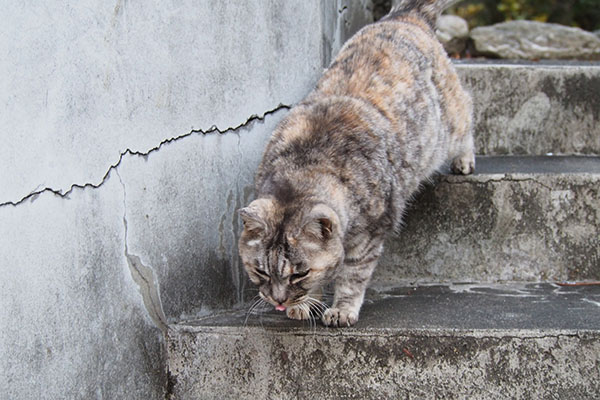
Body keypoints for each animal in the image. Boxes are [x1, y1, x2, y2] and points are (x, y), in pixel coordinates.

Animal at [238, 0, 474, 326]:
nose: (278, 301)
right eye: (260, 270)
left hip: (449, 124)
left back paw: (464, 160)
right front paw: (306, 305)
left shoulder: (369, 236)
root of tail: (406, 15)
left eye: (300, 273)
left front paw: (341, 309)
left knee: (467, 114)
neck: (306, 164)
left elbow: (352, 276)